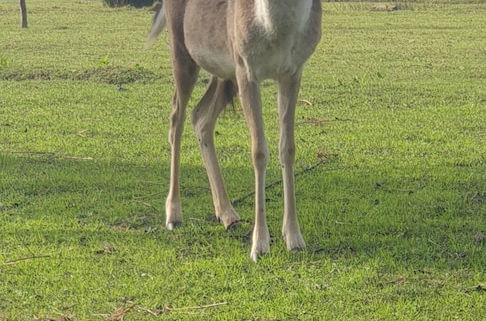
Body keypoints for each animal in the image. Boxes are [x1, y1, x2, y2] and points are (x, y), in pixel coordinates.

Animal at [148, 0, 322, 260]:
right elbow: (259, 151)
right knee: (176, 119)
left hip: (224, 72)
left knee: (201, 116)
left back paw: (228, 215)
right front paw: (259, 246)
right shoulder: (246, 69)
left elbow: (288, 148)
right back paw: (173, 216)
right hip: (182, 49)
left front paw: (294, 239)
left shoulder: (292, 72)